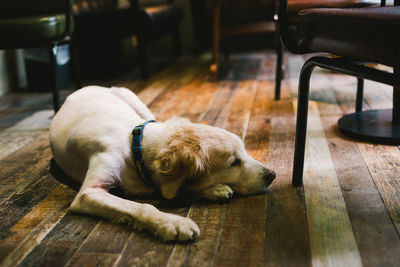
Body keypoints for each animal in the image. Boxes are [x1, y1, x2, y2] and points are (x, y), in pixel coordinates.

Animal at [49, 86, 276, 243]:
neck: (135, 147)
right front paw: (172, 222)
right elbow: (144, 207)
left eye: (245, 151)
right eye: (234, 162)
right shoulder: (89, 193)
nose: (272, 175)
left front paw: (213, 189)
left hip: (132, 98)